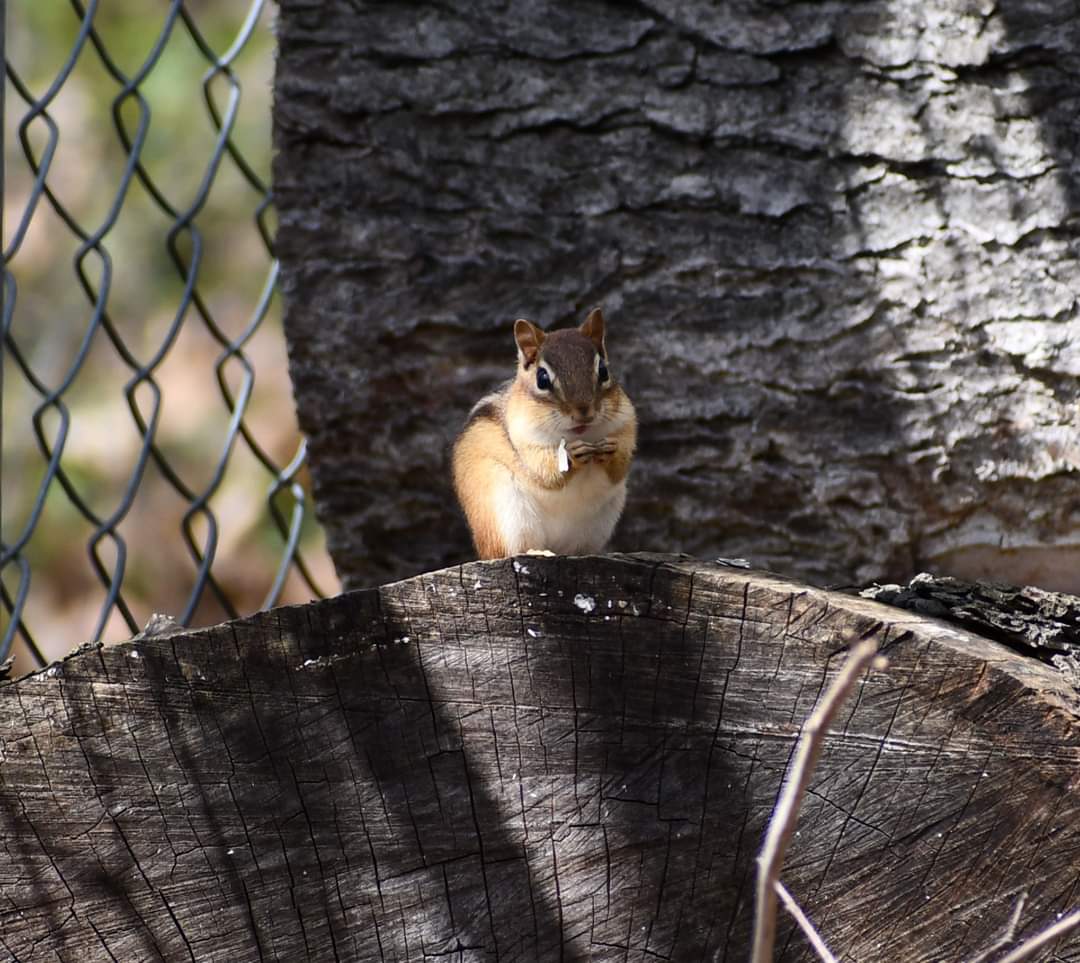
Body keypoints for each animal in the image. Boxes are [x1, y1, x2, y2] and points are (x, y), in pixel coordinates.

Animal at [452, 307, 637, 558]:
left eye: (603, 371)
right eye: (542, 379)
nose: (584, 412)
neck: (580, 435)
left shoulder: (626, 426)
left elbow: (619, 467)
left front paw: (610, 450)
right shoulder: (524, 440)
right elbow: (544, 471)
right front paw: (572, 454)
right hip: (504, 511)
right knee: (513, 550)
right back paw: (537, 552)